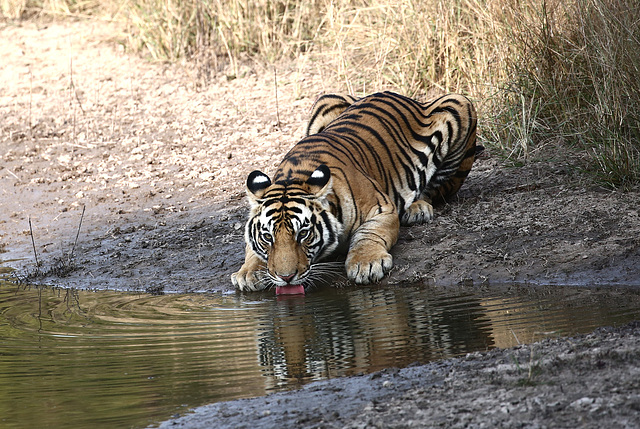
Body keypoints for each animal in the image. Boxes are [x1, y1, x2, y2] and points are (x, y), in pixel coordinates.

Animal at [232, 88, 478, 292]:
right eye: (267, 236)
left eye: (303, 234)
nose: (286, 277)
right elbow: (251, 249)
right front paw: (248, 273)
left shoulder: (382, 208)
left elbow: (368, 232)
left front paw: (365, 264)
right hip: (326, 98)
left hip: (460, 105)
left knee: (437, 188)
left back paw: (417, 208)